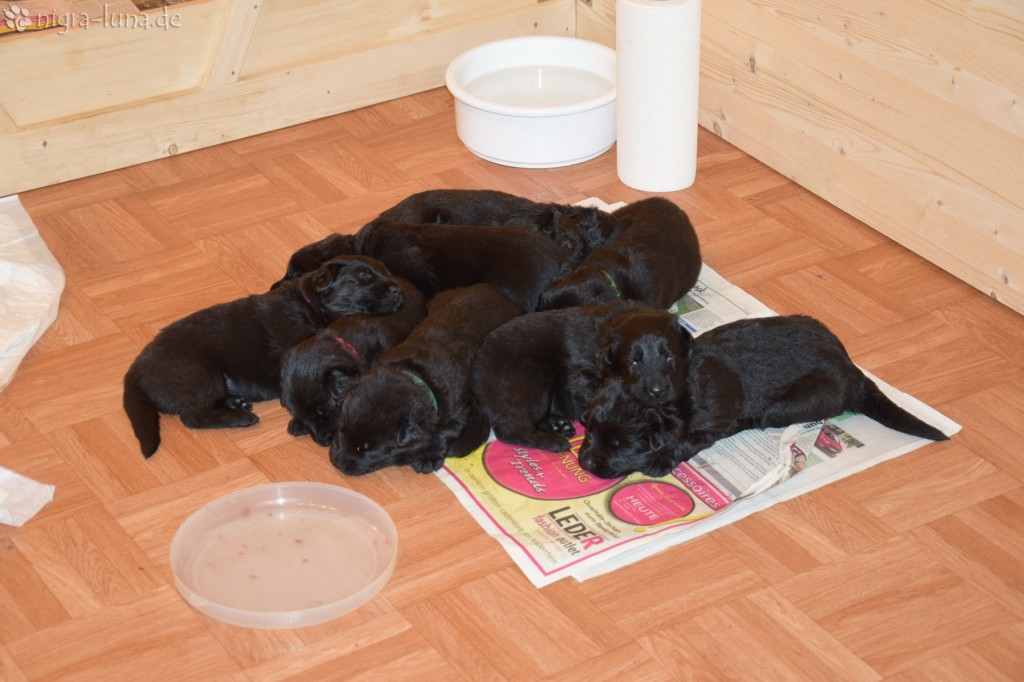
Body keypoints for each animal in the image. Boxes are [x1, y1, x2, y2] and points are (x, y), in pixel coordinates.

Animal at [123, 256, 403, 458]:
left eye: (386, 271)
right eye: (364, 277)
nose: (398, 289)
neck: (308, 304)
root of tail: (133, 372)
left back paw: (236, 402)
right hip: (201, 374)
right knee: (192, 416)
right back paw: (240, 418)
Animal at [331, 284, 524, 475]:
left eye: (368, 449)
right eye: (341, 429)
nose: (337, 462)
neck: (416, 373)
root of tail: (496, 291)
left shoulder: (457, 409)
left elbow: (444, 432)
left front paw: (428, 457)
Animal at [471, 303, 688, 453]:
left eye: (670, 357)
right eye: (633, 362)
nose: (657, 391)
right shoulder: (578, 377)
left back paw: (559, 424)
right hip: (532, 383)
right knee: (510, 427)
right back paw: (552, 440)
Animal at [578, 315, 949, 479]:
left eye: (621, 446)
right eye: (591, 433)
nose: (585, 464)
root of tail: (852, 369)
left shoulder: (712, 421)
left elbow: (686, 440)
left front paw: (660, 460)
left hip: (789, 406)